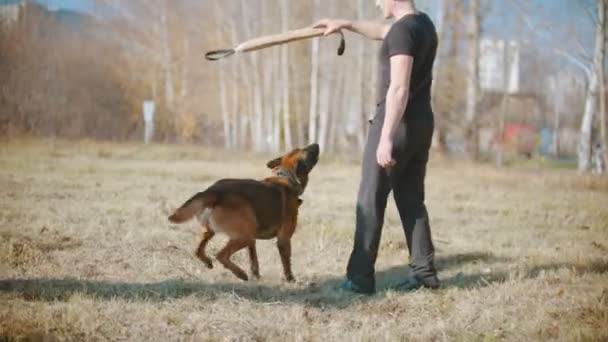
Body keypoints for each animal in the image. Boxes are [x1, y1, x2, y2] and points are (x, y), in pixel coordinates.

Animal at [166, 143, 318, 282]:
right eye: (307, 151)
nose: (316, 144)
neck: (286, 177)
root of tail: (213, 192)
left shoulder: (253, 242)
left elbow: (254, 260)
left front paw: (256, 276)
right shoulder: (283, 239)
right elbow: (286, 262)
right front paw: (290, 279)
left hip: (211, 232)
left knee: (198, 250)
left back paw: (209, 262)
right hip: (245, 236)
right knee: (221, 255)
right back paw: (241, 274)